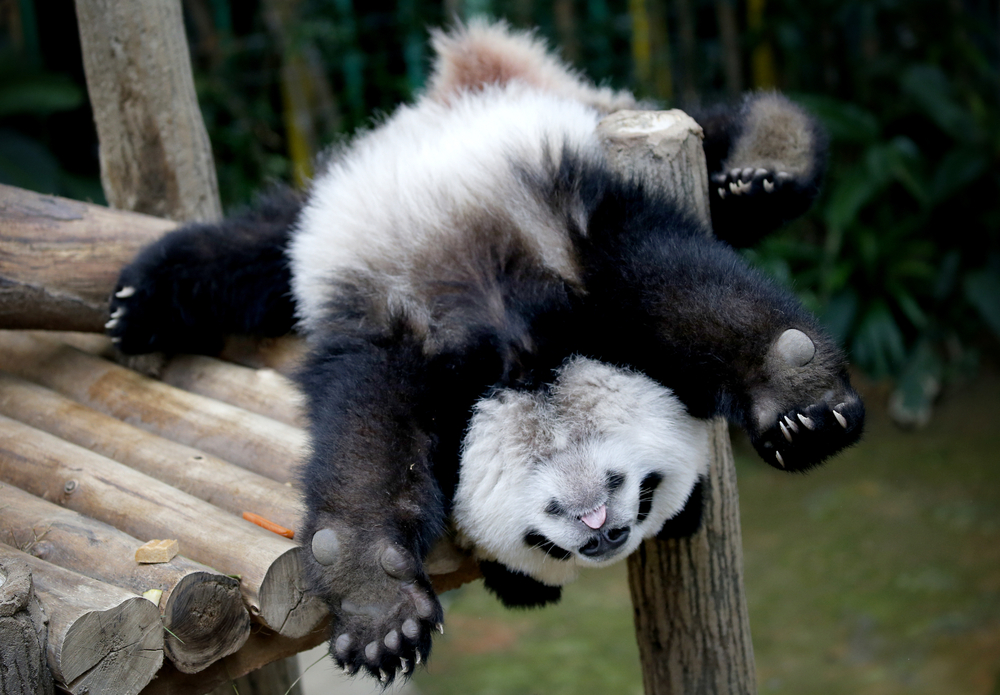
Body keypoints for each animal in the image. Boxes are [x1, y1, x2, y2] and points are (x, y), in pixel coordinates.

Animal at [107, 19, 860, 684]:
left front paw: (801, 397)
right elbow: (367, 450)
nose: (602, 531)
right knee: (248, 252)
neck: (524, 364)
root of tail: (466, 75)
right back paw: (138, 302)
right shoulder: (402, 344)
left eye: (642, 492)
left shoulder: (588, 261)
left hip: (598, 125)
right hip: (320, 225)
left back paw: (767, 160)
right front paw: (382, 613)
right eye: (545, 536)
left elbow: (688, 297)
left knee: (724, 152)